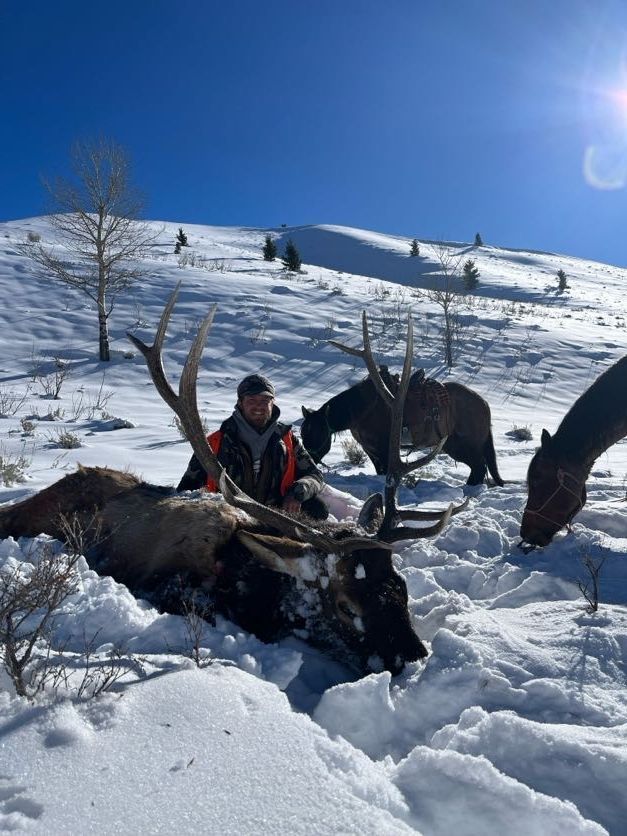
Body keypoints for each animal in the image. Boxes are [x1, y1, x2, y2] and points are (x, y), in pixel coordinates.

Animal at [301, 367, 504, 486]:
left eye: (318, 433)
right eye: (304, 434)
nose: (308, 461)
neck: (364, 408)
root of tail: (483, 403)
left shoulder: (384, 448)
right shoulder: (371, 449)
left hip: (462, 446)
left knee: (479, 466)